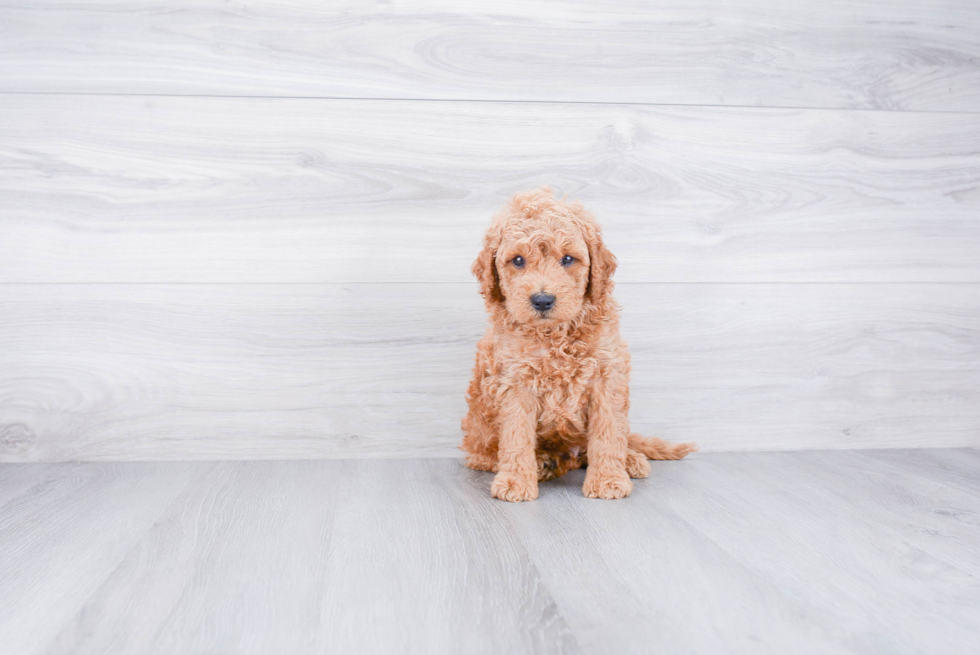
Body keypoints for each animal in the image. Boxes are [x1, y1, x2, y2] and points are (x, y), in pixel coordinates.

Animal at [462, 188, 696, 502]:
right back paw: (543, 462)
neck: (556, 335)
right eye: (518, 261)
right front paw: (515, 481)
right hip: (479, 441)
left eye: (568, 259)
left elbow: (608, 431)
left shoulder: (607, 375)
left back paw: (629, 459)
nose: (543, 300)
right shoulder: (514, 381)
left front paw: (607, 479)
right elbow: (516, 434)